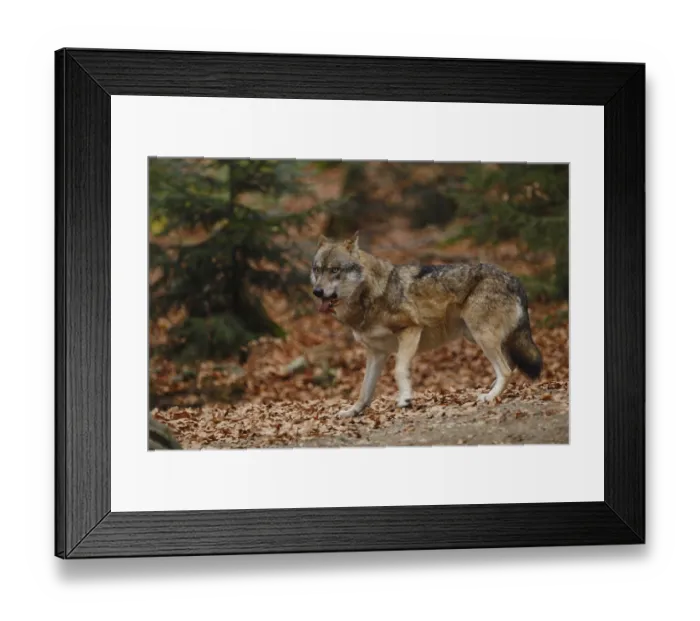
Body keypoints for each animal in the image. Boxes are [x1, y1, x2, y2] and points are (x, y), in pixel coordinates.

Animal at [311, 232, 543, 417]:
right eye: (317, 270)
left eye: (335, 270)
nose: (317, 292)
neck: (369, 295)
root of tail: (514, 278)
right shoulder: (376, 354)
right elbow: (364, 390)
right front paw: (352, 412)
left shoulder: (410, 331)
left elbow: (399, 369)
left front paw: (405, 399)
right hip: (480, 336)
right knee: (510, 366)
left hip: (481, 336)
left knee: (506, 370)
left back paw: (489, 397)